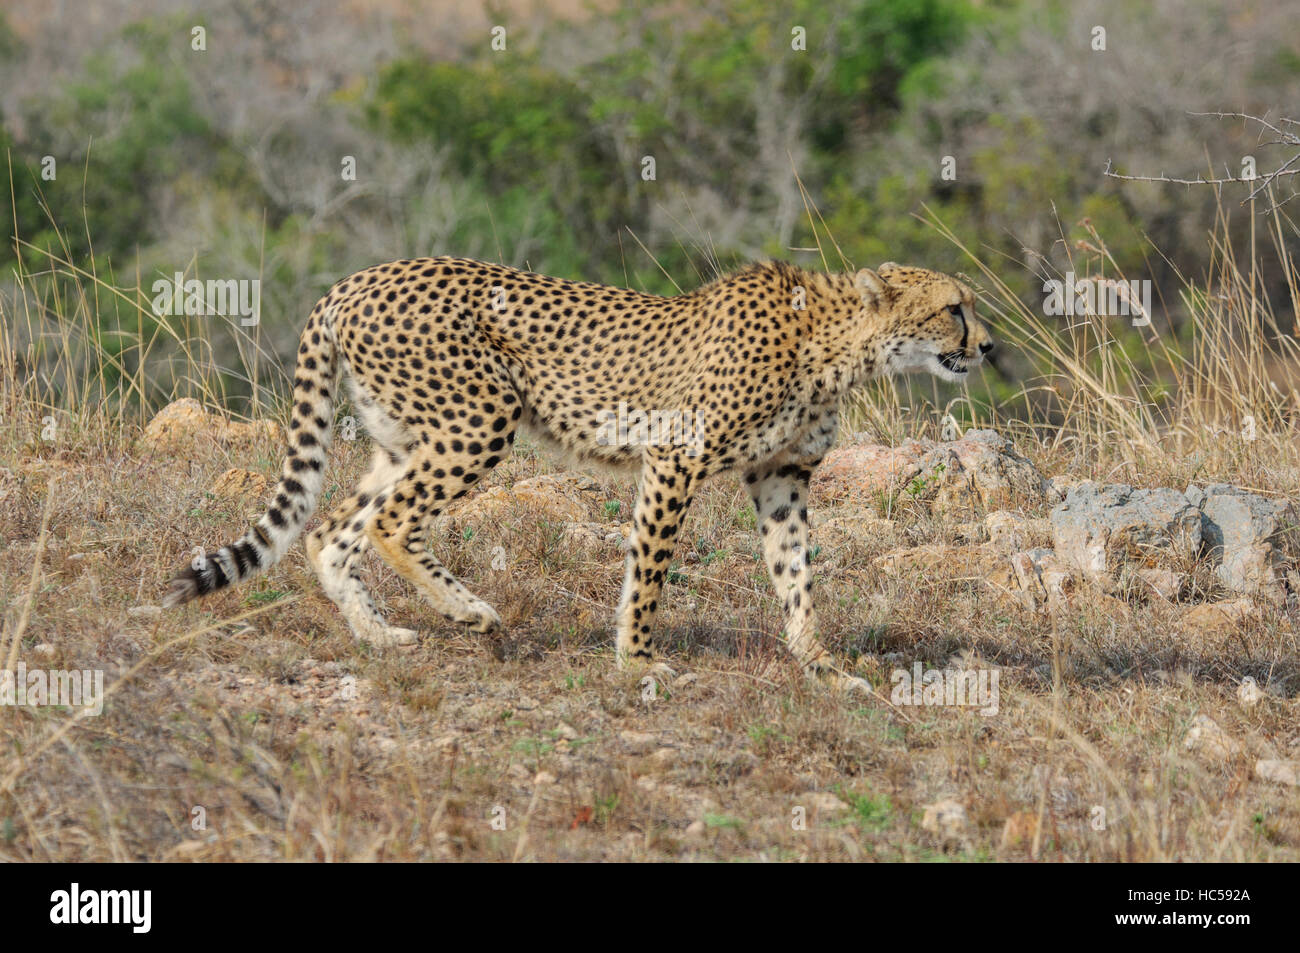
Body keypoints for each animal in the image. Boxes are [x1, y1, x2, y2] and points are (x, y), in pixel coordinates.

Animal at [162, 256, 993, 686]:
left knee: (333, 528)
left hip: (405, 440)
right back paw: (470, 611)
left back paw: (380, 634)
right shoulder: (676, 454)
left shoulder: (781, 476)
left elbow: (797, 575)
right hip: (478, 418)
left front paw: (817, 661)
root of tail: (357, 279)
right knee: (392, 523)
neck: (836, 340)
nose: (987, 345)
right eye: (954, 308)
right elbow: (649, 568)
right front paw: (638, 658)